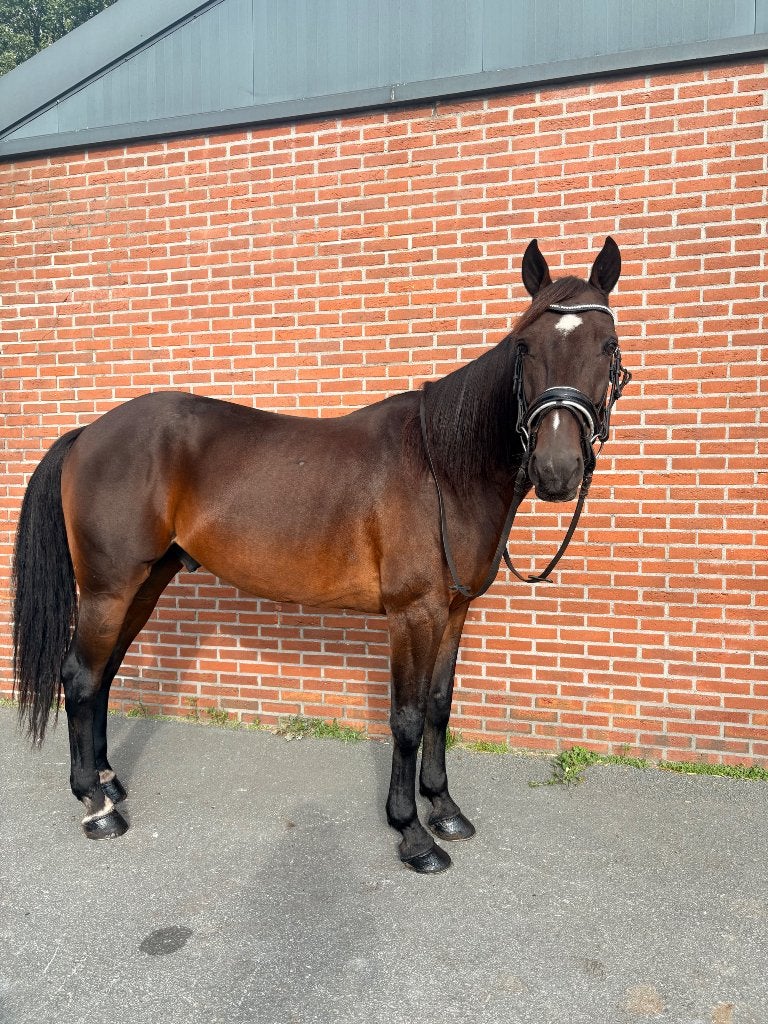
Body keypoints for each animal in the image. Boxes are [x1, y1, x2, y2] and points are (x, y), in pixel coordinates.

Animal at [11, 237, 630, 873]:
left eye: (608, 346)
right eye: (525, 347)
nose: (557, 470)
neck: (442, 469)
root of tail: (88, 433)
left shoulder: (453, 612)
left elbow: (439, 706)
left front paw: (445, 809)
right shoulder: (413, 615)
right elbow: (407, 718)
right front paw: (412, 833)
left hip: (144, 584)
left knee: (104, 675)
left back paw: (109, 782)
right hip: (108, 588)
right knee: (80, 677)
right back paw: (96, 807)